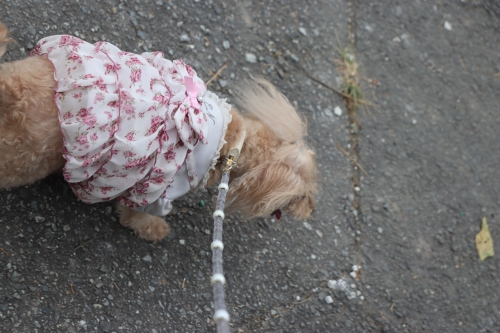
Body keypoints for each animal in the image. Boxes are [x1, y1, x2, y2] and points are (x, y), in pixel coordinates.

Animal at [0, 24, 318, 241]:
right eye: (302, 196)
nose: (311, 211)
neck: (231, 142)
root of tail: (12, 91)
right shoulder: (159, 187)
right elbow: (137, 214)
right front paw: (154, 229)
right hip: (25, 162)